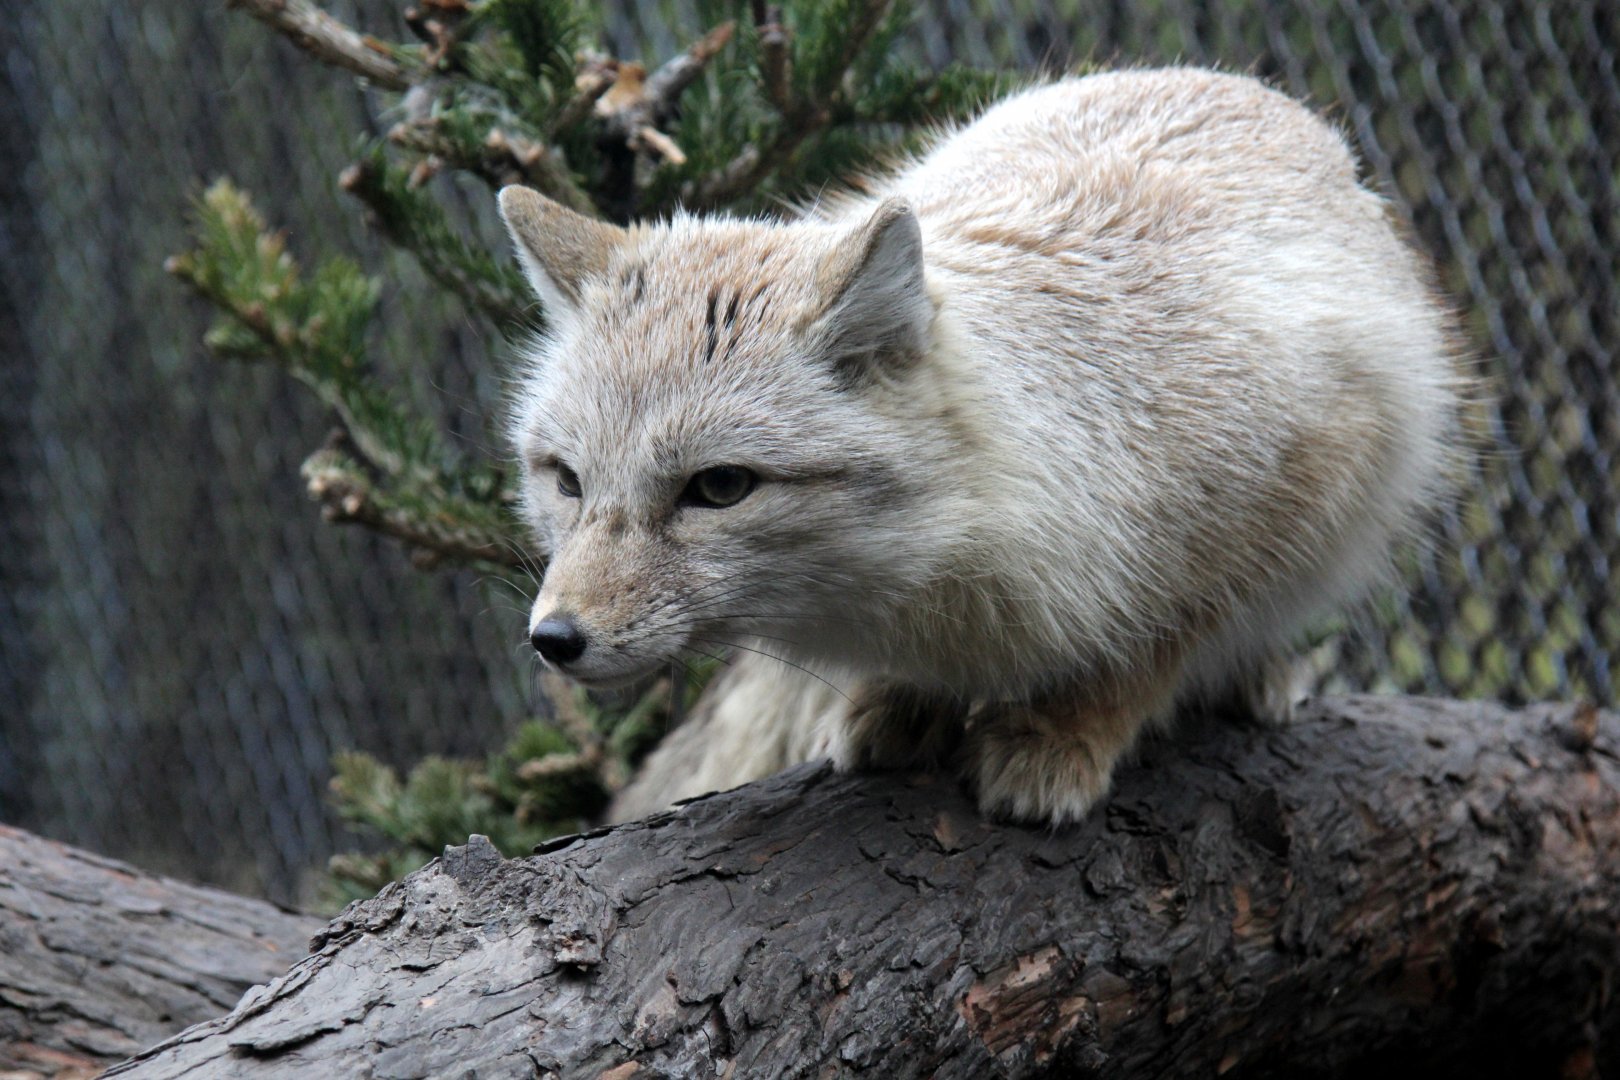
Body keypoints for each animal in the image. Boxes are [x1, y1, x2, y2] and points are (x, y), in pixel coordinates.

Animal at [496, 67, 1468, 826]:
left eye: (720, 487)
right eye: (569, 481)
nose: (553, 639)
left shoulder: (1298, 470)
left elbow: (1155, 642)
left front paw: (1065, 730)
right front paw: (904, 700)